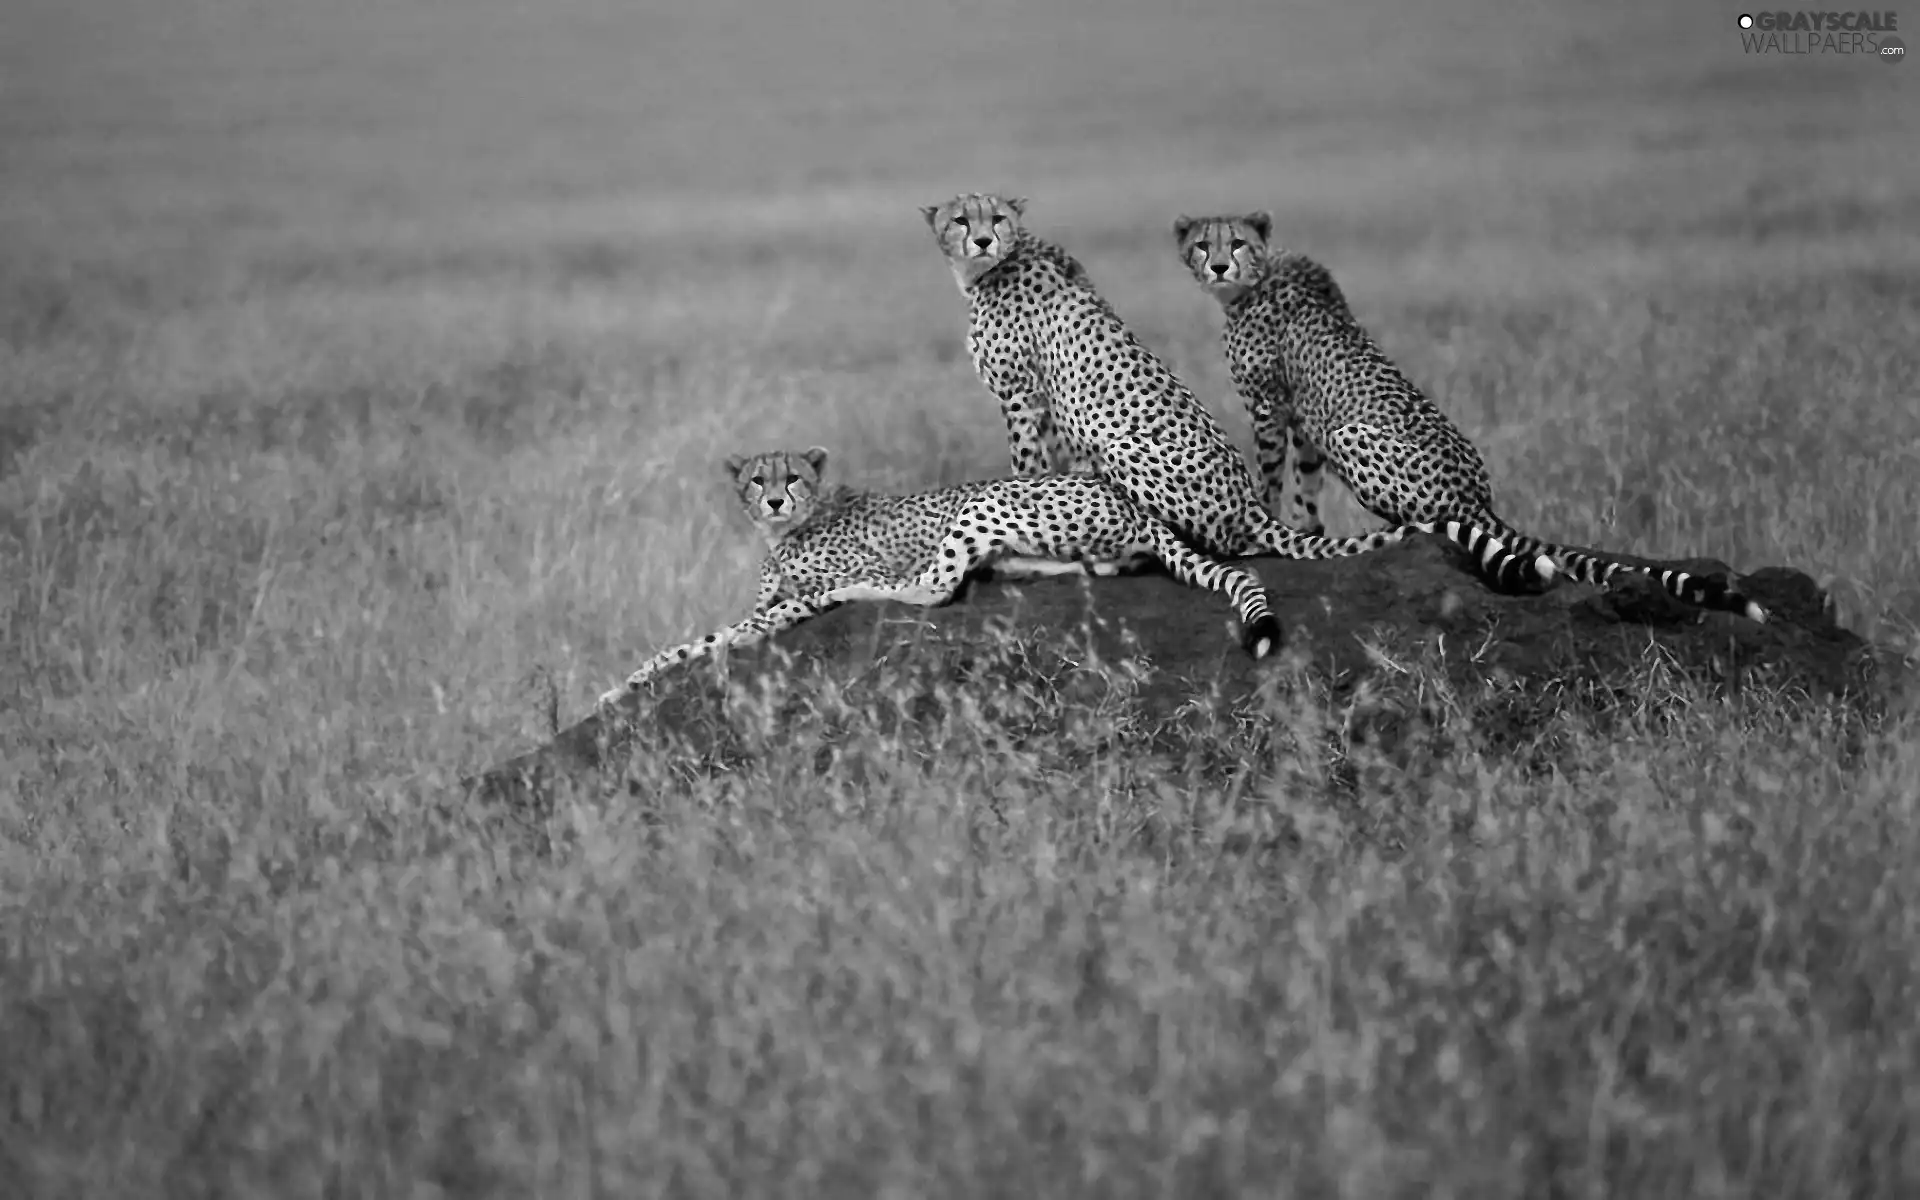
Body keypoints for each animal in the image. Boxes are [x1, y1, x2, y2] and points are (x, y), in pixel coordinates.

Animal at [599, 447, 1397, 706]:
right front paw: (622, 685)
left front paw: (630, 681)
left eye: (791, 476)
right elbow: (693, 641)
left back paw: (858, 594)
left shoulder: (778, 611)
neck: (792, 528)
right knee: (1087, 566)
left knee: (932, 587)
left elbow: (706, 640)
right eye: (757, 479)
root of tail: (1136, 505)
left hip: (985, 502)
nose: (771, 499)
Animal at [913, 191, 1543, 595]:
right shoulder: (1043, 407)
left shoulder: (1020, 397)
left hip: (1133, 445)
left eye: (995, 216)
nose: (983, 238)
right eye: (958, 219)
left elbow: (1025, 471)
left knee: (1219, 543)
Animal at [1159, 212, 1758, 622]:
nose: (1218, 264)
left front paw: (1269, 520)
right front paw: (1306, 530)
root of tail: (1479, 498)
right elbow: (1306, 488)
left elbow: (1269, 478)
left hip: (1352, 435)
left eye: (1237, 242)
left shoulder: (1269, 407)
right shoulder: (1305, 420)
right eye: (1203, 244)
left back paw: (1402, 531)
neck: (1256, 281)